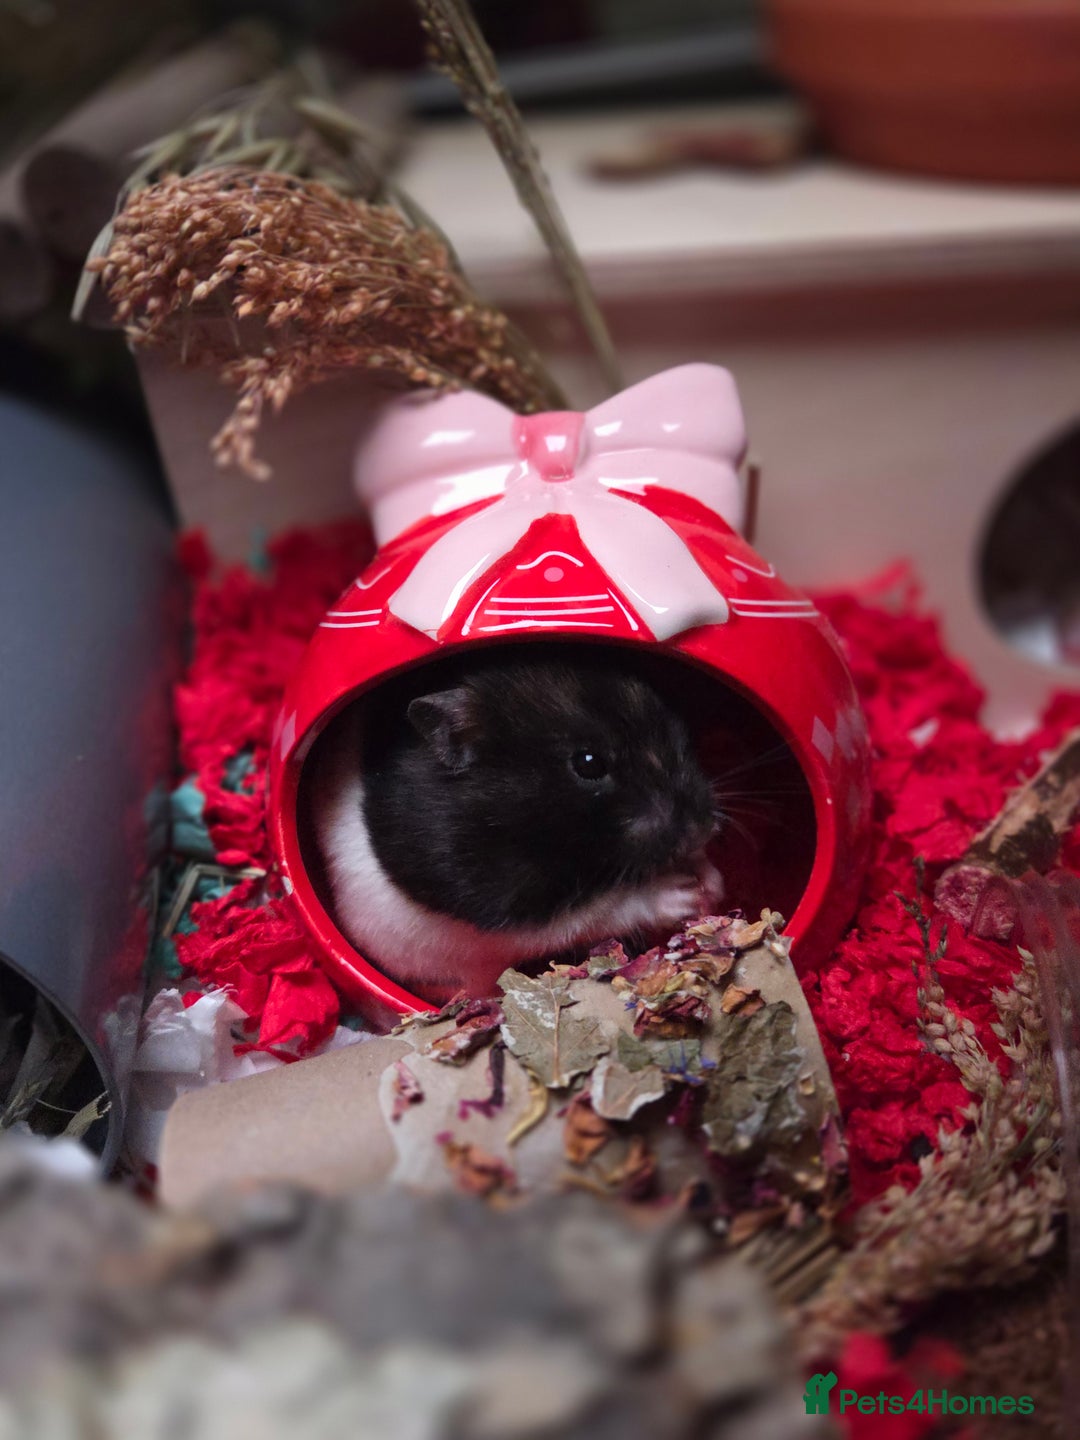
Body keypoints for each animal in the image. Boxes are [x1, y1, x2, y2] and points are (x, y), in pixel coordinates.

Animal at [310, 649, 723, 1003]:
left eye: (671, 724)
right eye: (588, 763)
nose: (702, 829)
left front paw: (712, 882)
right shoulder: (516, 912)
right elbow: (606, 907)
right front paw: (684, 894)